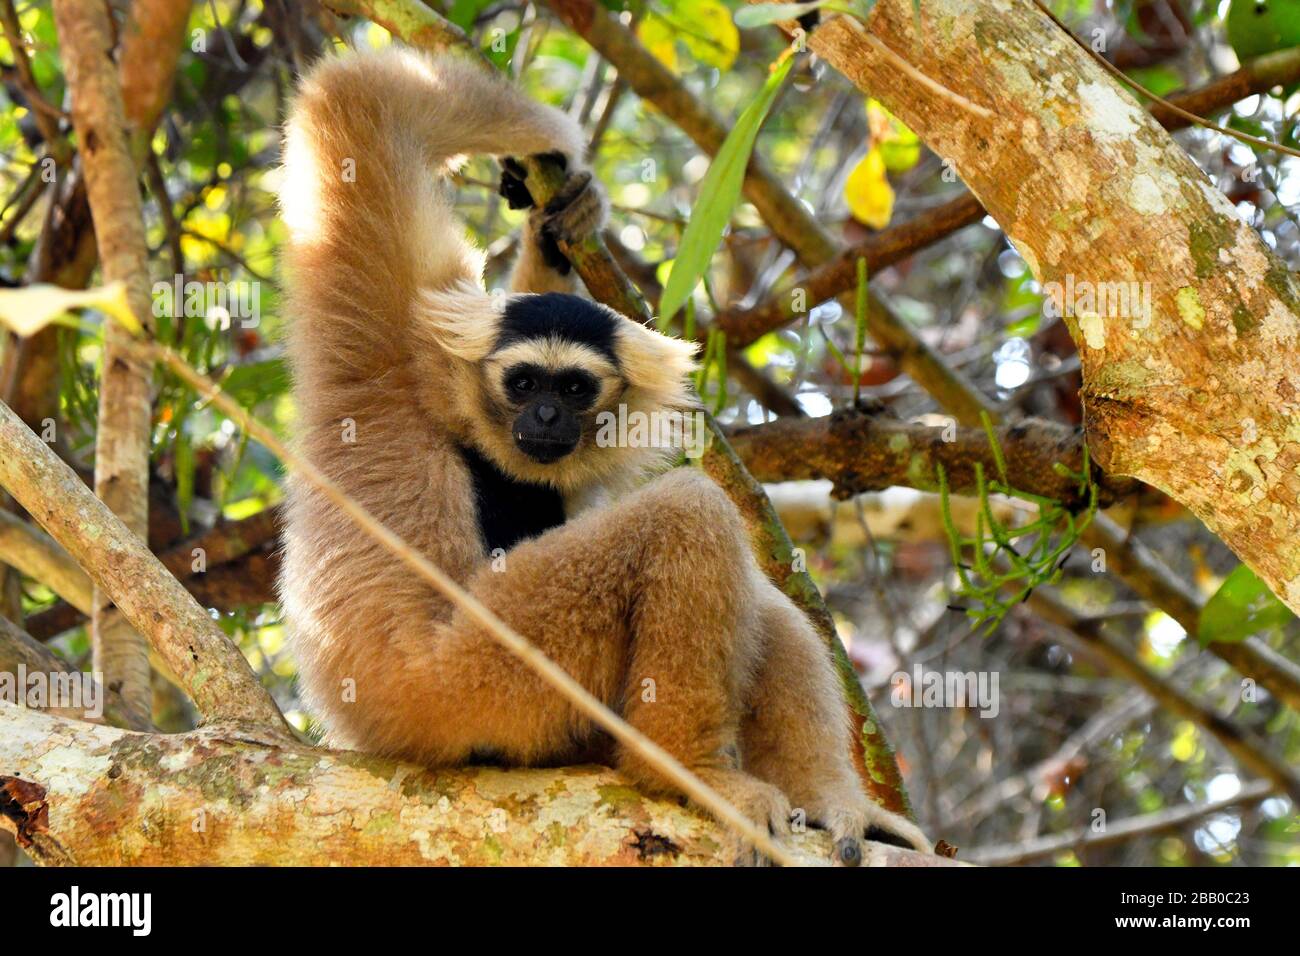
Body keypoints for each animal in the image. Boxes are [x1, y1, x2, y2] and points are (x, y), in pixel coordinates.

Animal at [277, 46, 931, 865]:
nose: (546, 415)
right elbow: (359, 103)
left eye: (575, 387)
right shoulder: (386, 343)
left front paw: (559, 222)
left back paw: (834, 800)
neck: (450, 407)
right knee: (685, 513)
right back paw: (690, 774)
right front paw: (559, 140)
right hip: (469, 683)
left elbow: (362, 103)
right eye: (524, 382)